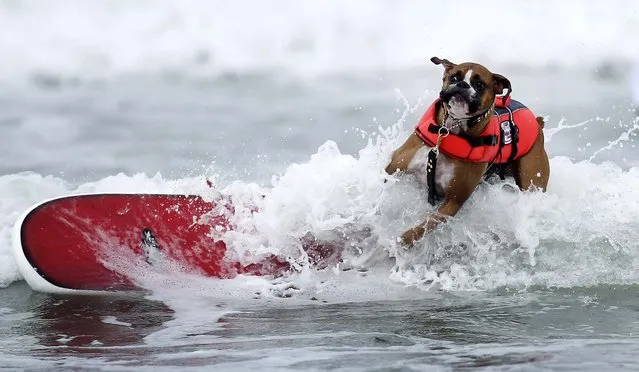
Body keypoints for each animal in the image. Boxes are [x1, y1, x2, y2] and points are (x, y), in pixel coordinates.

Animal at [384, 56, 552, 246]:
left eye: (479, 84)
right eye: (454, 78)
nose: (462, 84)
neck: (449, 131)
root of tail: (536, 122)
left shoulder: (452, 202)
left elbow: (422, 226)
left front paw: (401, 241)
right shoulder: (394, 168)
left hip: (532, 182)